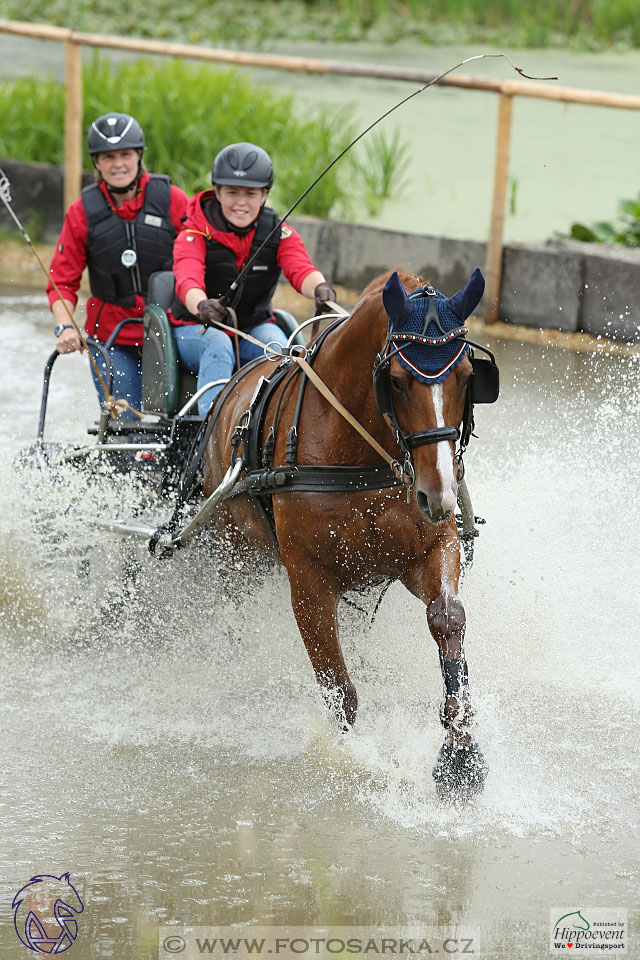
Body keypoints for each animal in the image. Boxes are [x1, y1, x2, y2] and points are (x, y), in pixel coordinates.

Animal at [202, 268, 498, 796]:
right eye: (396, 381)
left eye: (468, 377)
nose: (441, 494)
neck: (355, 453)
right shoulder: (308, 584)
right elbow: (340, 690)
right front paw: (351, 760)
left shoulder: (430, 548)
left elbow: (448, 620)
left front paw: (461, 755)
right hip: (234, 556)